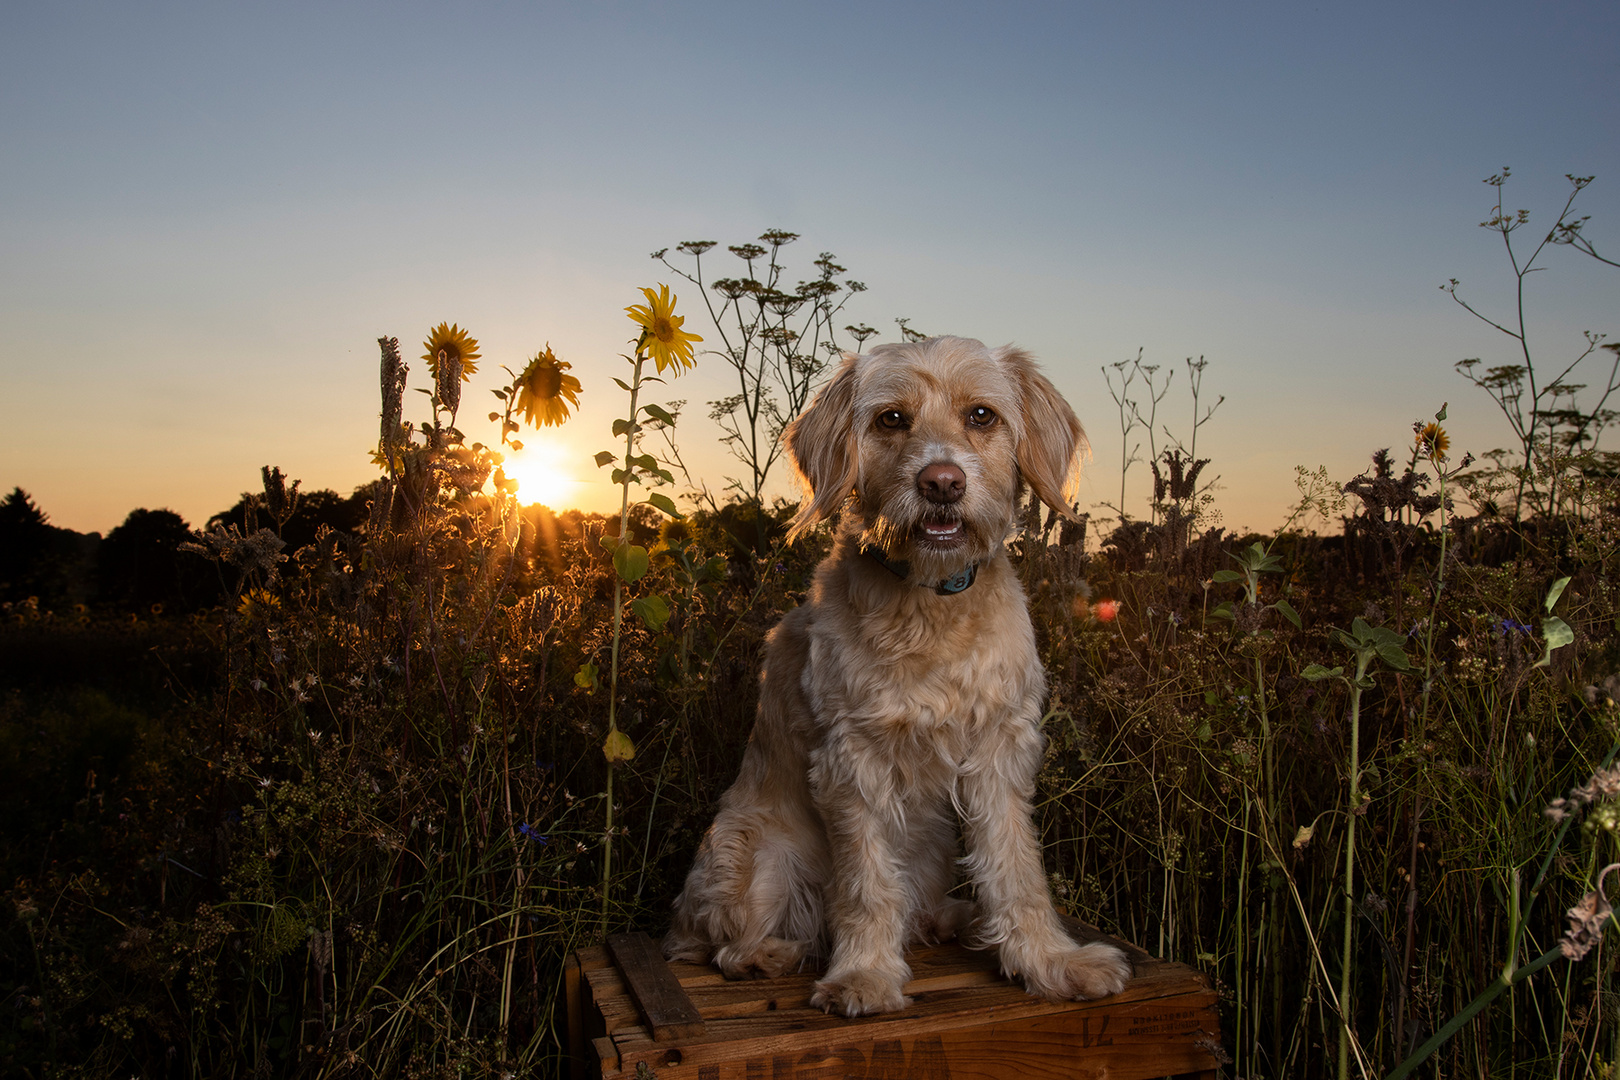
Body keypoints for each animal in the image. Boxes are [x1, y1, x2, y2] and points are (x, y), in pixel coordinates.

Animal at [664, 333, 1134, 1016]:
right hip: (752, 852)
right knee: (723, 943)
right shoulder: (851, 760)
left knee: (919, 906)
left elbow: (1017, 872)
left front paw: (1049, 962)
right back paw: (769, 955)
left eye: (981, 415)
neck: (931, 606)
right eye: (891, 419)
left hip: (933, 845)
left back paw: (950, 920)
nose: (941, 482)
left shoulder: (999, 752)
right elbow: (865, 885)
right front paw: (863, 975)